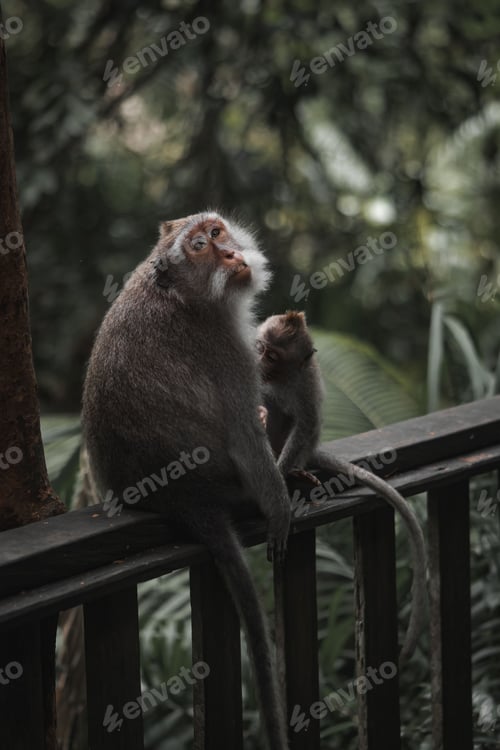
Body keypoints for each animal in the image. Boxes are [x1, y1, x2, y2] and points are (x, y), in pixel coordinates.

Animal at [82, 212, 291, 750]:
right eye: (199, 246)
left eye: (217, 233)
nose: (231, 254)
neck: (186, 295)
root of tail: (183, 497)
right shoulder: (226, 347)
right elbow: (245, 435)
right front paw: (280, 508)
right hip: (226, 481)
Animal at [256, 310, 427, 664]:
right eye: (261, 347)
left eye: (274, 355)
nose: (259, 359)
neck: (279, 378)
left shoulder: (305, 382)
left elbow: (305, 423)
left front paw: (279, 474)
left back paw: (291, 467)